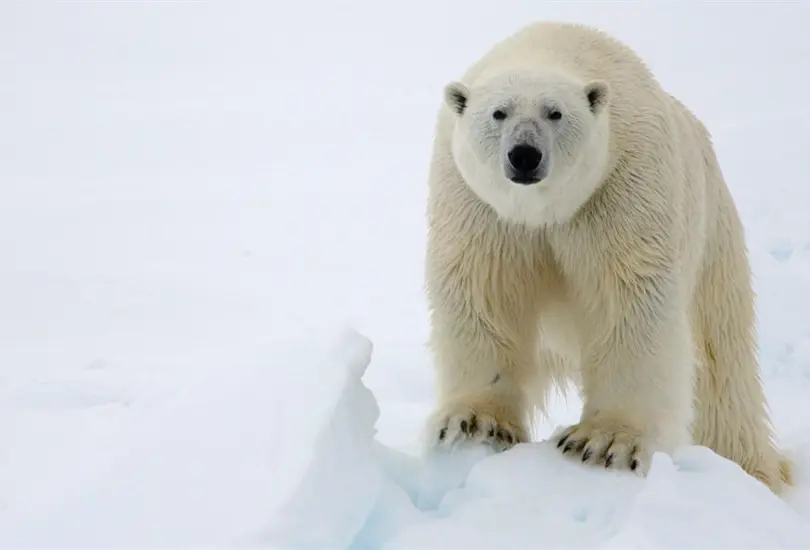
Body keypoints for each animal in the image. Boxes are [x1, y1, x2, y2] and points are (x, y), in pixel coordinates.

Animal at [422, 20, 793, 495]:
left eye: (555, 113)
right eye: (498, 113)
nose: (524, 155)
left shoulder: (622, 185)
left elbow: (631, 301)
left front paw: (604, 443)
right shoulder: (479, 207)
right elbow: (484, 292)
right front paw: (474, 423)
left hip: (713, 231)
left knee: (721, 360)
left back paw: (751, 468)